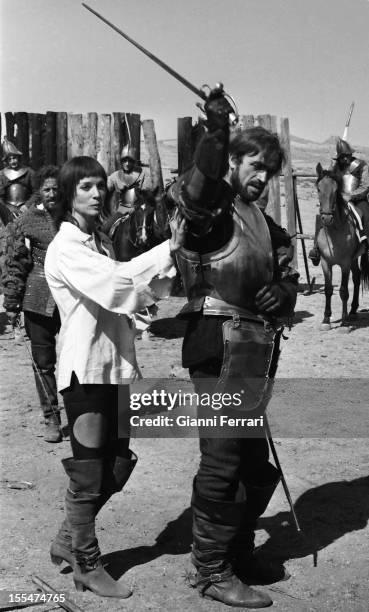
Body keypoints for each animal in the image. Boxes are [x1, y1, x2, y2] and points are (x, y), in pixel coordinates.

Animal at [314, 160, 368, 328]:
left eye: (335, 190)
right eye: (318, 189)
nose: (326, 218)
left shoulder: (344, 263)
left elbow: (343, 290)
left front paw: (343, 322)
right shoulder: (325, 262)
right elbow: (328, 289)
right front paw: (326, 319)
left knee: (356, 278)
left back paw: (350, 313)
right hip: (353, 259)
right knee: (357, 277)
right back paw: (353, 311)